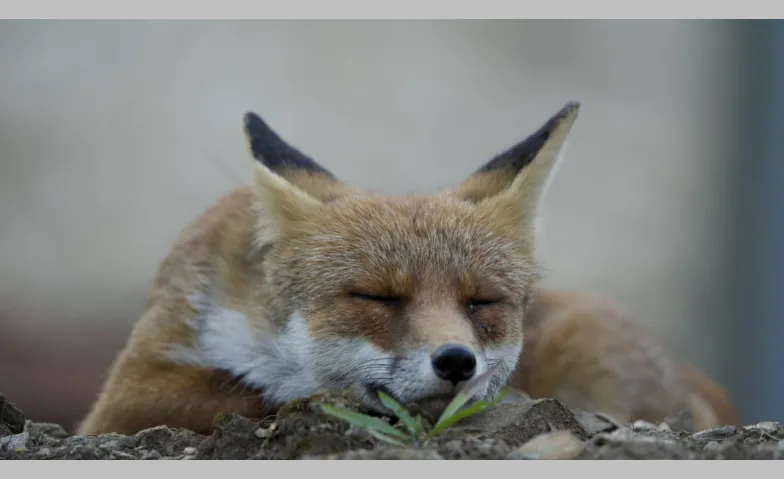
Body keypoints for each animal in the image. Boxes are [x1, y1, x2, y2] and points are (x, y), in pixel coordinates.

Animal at [77, 101, 740, 437]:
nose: (456, 361)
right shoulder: (126, 392)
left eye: (481, 302)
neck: (255, 324)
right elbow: (248, 388)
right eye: (376, 297)